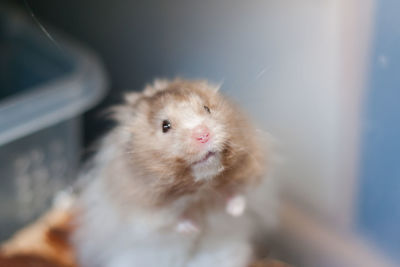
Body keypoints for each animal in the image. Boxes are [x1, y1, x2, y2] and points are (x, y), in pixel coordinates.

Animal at [72, 78, 268, 266]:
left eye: (207, 108)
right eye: (165, 126)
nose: (203, 135)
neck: (202, 189)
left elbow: (237, 194)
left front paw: (235, 211)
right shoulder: (141, 211)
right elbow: (170, 220)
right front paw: (193, 229)